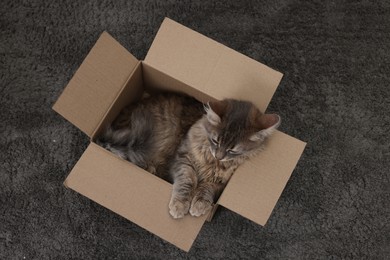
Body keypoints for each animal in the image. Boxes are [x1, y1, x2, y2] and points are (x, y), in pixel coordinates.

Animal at [97, 92, 280, 218]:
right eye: (216, 141)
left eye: (233, 150)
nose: (219, 156)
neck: (212, 162)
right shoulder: (182, 159)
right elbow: (187, 181)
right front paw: (179, 205)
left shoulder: (221, 183)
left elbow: (206, 188)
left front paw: (199, 205)